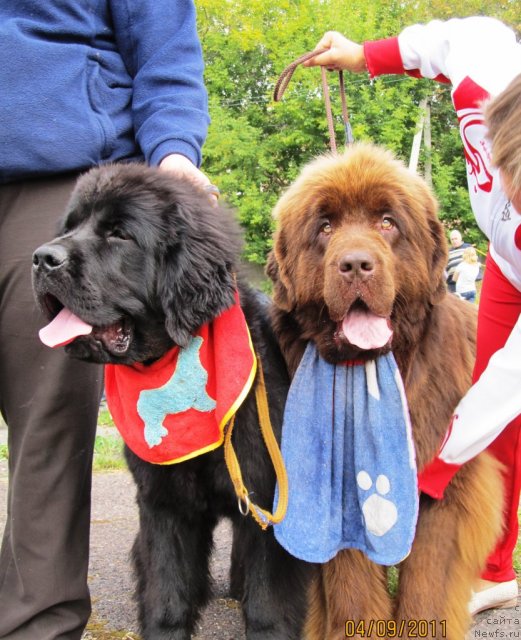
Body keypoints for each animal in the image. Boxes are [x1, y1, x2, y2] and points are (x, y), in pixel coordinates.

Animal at [31, 165, 308, 640]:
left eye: (120, 234)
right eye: (69, 227)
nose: (42, 258)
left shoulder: (265, 496)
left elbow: (267, 603)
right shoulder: (163, 503)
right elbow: (167, 593)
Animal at [266, 145, 502, 640]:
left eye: (388, 222)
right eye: (325, 227)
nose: (356, 264)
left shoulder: (439, 486)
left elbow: (427, 582)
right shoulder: (339, 491)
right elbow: (350, 580)